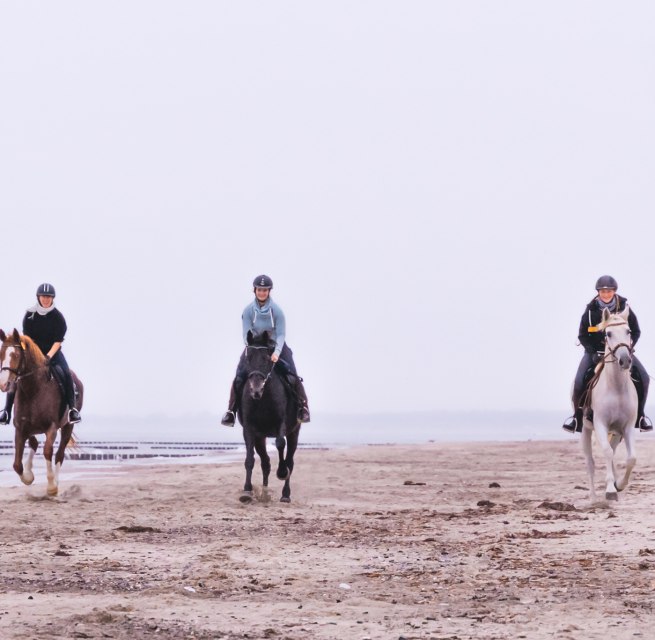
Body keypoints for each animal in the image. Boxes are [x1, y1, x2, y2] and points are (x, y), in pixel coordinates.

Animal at [0, 329, 84, 496]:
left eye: (16, 355)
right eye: (1, 354)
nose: (4, 384)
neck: (34, 389)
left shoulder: (51, 428)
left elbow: (47, 451)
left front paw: (51, 486)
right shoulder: (20, 427)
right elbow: (17, 464)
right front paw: (28, 476)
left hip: (67, 426)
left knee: (59, 454)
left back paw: (56, 483)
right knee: (34, 443)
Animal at [236, 331, 301, 503]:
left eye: (266, 358)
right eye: (248, 358)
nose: (256, 390)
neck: (263, 399)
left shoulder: (282, 424)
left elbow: (280, 444)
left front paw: (282, 472)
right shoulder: (249, 429)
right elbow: (250, 459)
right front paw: (246, 491)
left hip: (294, 432)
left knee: (290, 460)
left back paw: (285, 494)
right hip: (260, 437)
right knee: (266, 463)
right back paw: (264, 493)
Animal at [580, 307, 638, 502]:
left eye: (628, 331)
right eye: (608, 333)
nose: (625, 360)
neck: (617, 388)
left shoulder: (627, 427)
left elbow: (631, 458)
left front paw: (619, 485)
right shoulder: (600, 424)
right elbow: (606, 452)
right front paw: (610, 490)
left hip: (617, 433)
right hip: (586, 429)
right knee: (590, 462)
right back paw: (592, 497)